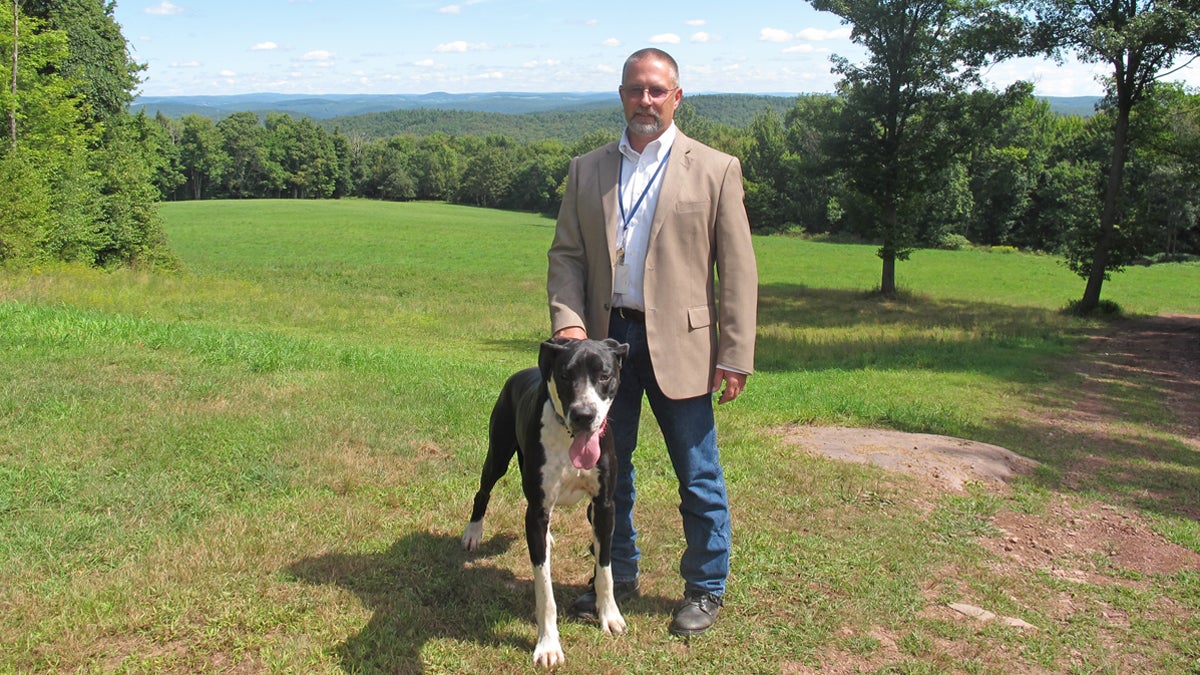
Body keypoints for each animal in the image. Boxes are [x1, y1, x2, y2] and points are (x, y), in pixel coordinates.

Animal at [458, 338, 628, 662]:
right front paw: (548, 645)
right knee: (483, 492)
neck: (569, 436)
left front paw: (610, 615)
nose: (584, 415)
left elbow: (605, 568)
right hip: (498, 454)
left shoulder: (604, 506)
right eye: (565, 375)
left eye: (604, 375)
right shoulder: (536, 510)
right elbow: (545, 589)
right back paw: (473, 533)